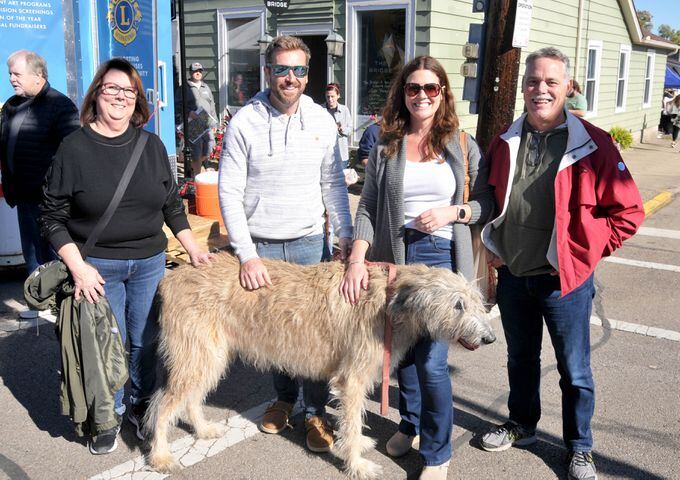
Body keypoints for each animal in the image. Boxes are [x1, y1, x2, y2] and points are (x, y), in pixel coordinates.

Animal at [147, 253, 494, 478]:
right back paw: (161, 456)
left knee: (190, 398)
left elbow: (354, 421)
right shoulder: (352, 380)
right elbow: (352, 422)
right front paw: (357, 465)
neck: (392, 299)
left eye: (477, 302)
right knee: (162, 405)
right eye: (458, 304)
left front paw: (359, 445)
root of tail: (171, 275)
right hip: (196, 355)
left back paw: (203, 430)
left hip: (209, 357)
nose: (490, 338)